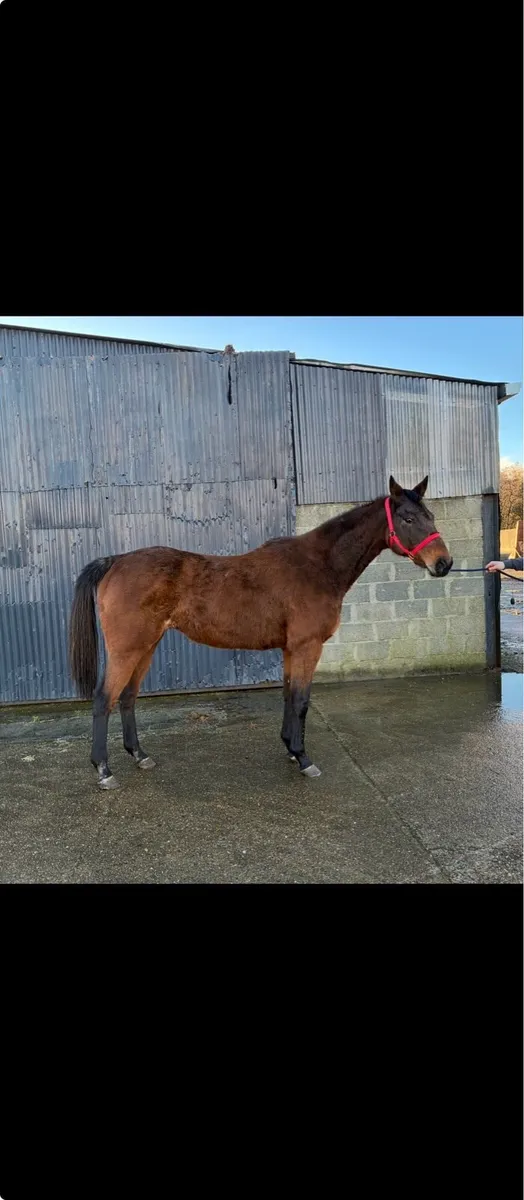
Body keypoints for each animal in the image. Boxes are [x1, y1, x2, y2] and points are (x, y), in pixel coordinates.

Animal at [68, 475, 452, 790]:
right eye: (407, 518)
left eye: (431, 516)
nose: (444, 564)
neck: (317, 566)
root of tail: (116, 560)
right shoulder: (307, 647)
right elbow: (301, 701)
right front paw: (304, 758)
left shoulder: (291, 649)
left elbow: (288, 696)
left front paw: (290, 749)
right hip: (128, 649)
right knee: (104, 699)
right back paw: (104, 770)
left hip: (147, 646)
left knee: (128, 697)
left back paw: (139, 755)